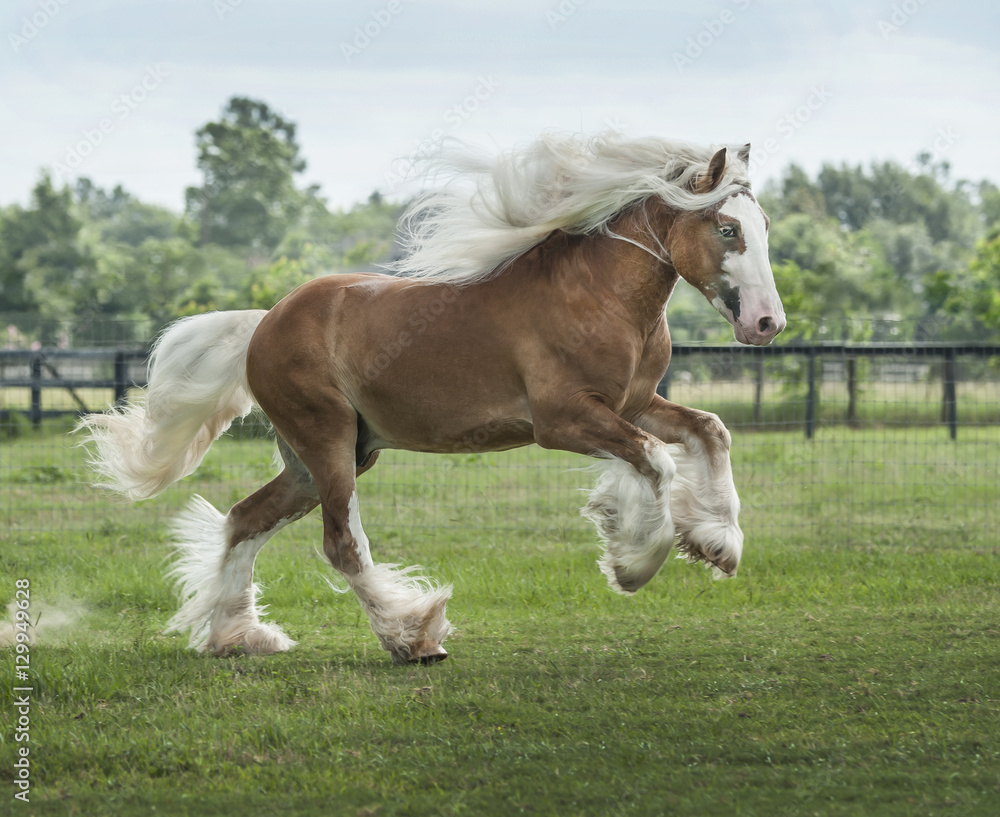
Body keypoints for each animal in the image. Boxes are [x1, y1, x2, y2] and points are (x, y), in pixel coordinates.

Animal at [78, 132, 785, 665]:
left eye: (764, 226)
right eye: (727, 228)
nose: (766, 324)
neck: (599, 296)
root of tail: (263, 324)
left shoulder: (635, 405)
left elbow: (710, 430)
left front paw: (716, 543)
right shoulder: (565, 420)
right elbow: (657, 461)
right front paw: (634, 562)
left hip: (329, 456)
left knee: (245, 517)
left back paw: (238, 637)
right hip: (327, 441)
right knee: (341, 543)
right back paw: (412, 637)